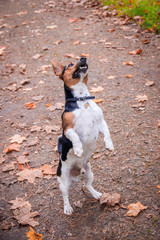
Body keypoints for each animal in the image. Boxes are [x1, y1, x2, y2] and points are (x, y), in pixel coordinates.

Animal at [51, 57, 114, 215]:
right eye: (70, 64)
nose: (83, 58)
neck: (82, 100)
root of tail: (76, 175)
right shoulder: (67, 128)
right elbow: (75, 137)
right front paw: (78, 149)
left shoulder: (101, 122)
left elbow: (108, 132)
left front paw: (109, 145)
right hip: (62, 181)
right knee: (65, 195)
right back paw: (67, 208)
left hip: (89, 174)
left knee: (87, 185)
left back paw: (96, 194)